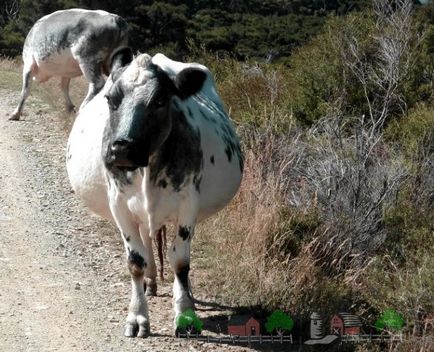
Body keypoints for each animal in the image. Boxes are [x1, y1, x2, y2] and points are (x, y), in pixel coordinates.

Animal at [67, 48, 244, 336]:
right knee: (146, 240)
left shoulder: (188, 203)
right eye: (110, 98)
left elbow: (180, 261)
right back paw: (150, 282)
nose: (123, 148)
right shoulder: (119, 204)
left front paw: (185, 314)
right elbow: (135, 261)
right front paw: (137, 316)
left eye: (160, 100)